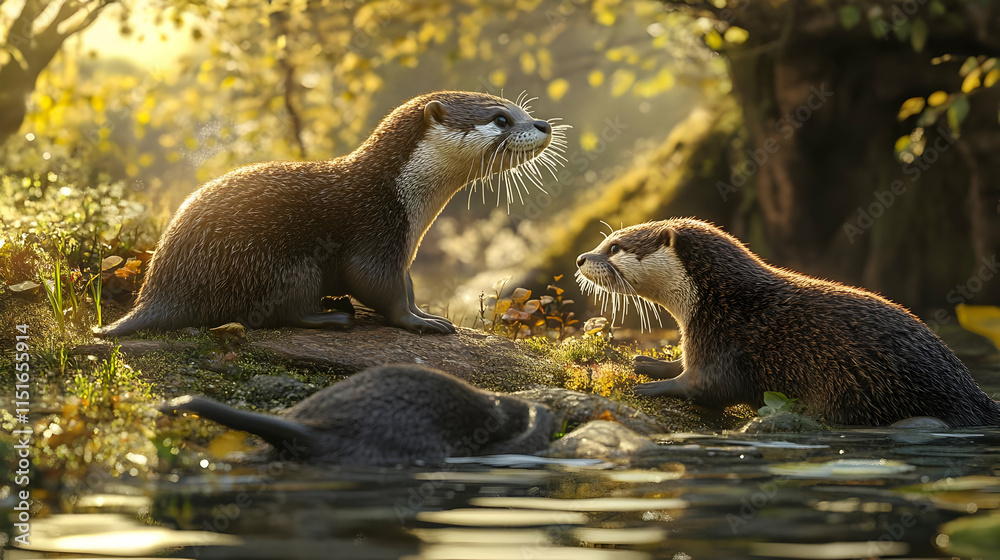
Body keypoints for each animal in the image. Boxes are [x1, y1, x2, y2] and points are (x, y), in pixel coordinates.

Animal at [97, 92, 567, 336]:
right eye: (501, 119)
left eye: (521, 110)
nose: (543, 124)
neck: (403, 198)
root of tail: (160, 287)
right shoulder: (376, 230)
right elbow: (379, 288)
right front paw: (423, 323)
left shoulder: (401, 251)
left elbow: (408, 287)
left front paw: (426, 312)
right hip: (281, 267)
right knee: (281, 312)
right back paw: (333, 315)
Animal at [576, 218, 1000, 427]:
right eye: (605, 241)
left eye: (614, 247)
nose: (580, 258)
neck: (720, 300)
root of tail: (970, 392)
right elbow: (683, 365)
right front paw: (646, 362)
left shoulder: (728, 340)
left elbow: (704, 387)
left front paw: (650, 387)